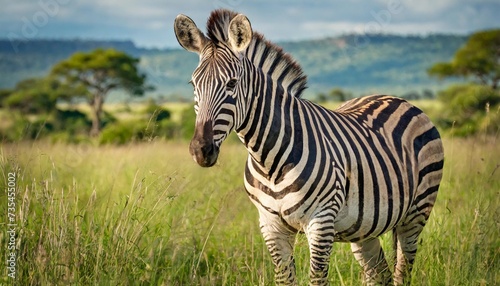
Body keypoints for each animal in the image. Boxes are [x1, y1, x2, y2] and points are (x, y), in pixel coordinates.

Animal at [174, 8, 444, 286]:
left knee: (403, 269)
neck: (269, 162)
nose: (201, 150)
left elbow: (317, 278)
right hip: (365, 227)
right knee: (380, 274)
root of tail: (394, 98)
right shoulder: (270, 225)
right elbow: (284, 278)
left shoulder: (321, 221)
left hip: (416, 212)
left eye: (231, 84)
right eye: (193, 85)